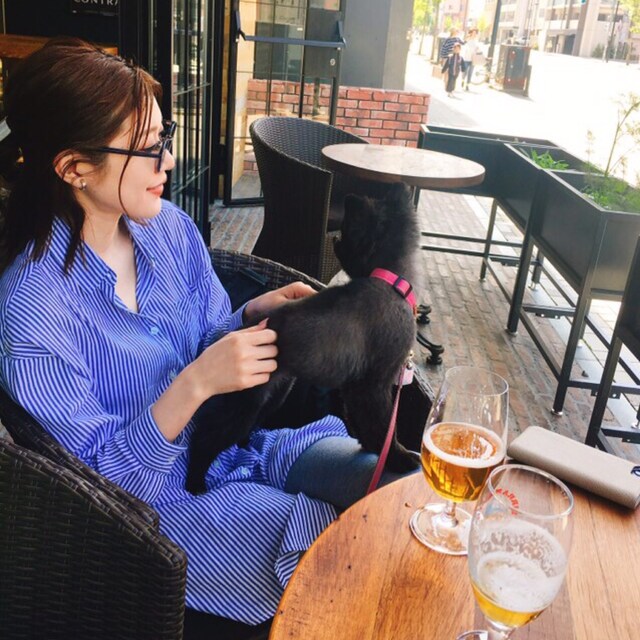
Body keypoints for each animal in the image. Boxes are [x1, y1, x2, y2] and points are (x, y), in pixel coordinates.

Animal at [186, 183, 420, 495]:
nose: (336, 238)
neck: (390, 281)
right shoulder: (373, 385)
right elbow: (382, 427)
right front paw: (397, 457)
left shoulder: (355, 388)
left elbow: (365, 424)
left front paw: (371, 446)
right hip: (243, 407)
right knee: (204, 440)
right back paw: (195, 483)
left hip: (273, 395)